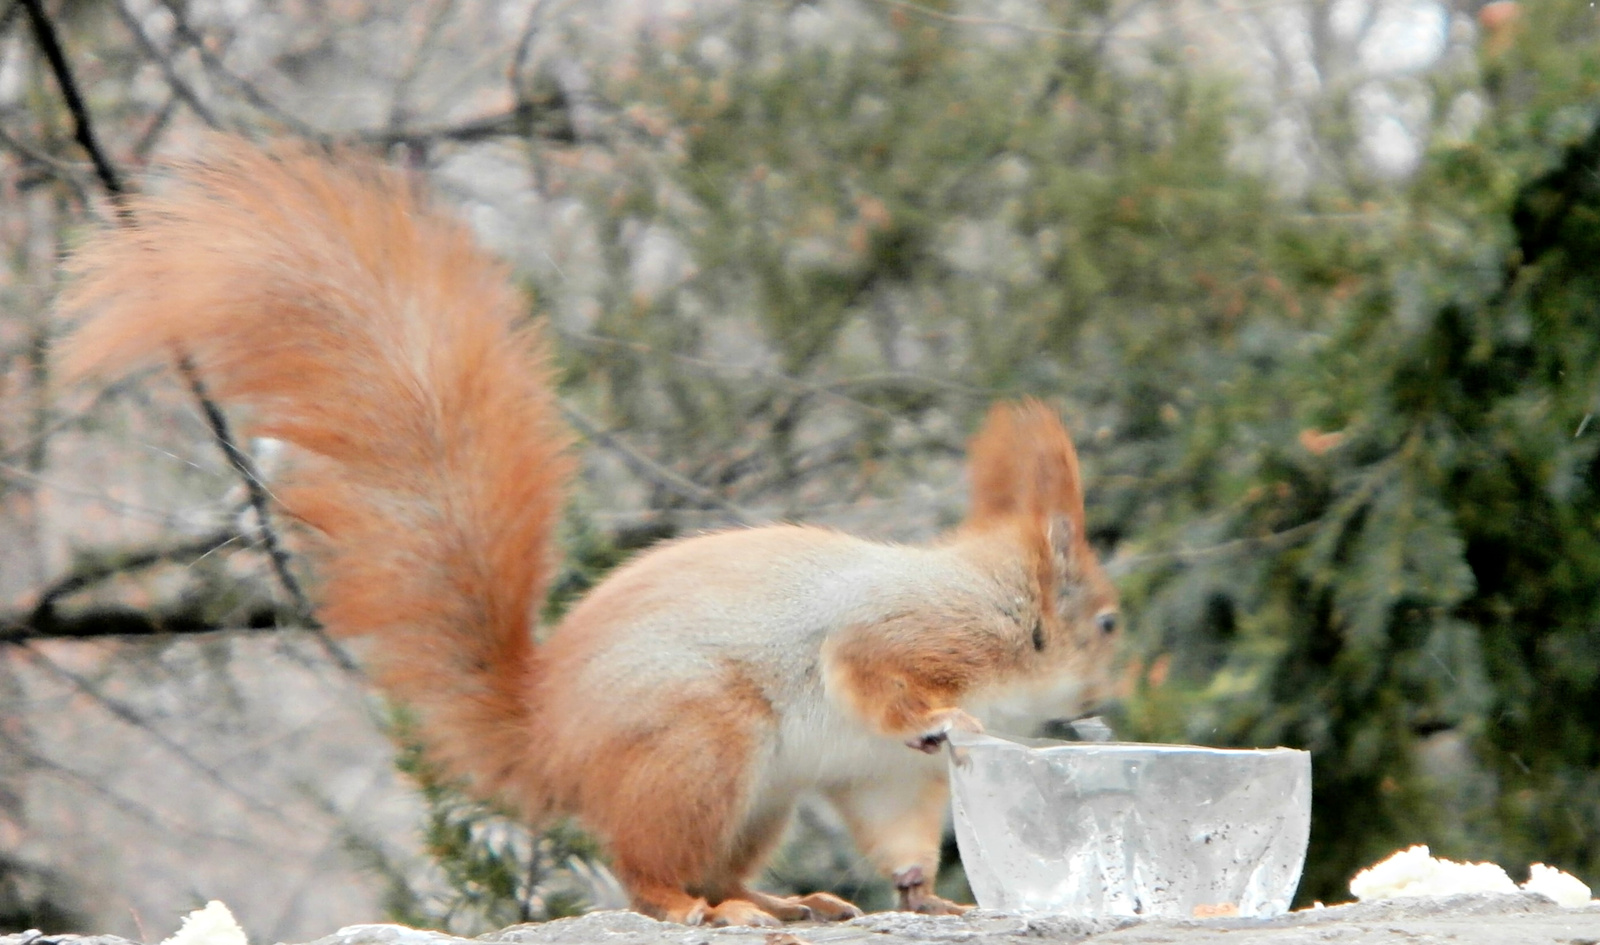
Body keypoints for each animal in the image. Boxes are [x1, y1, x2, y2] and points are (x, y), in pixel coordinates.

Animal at [59, 142, 1126, 933]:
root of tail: (551, 738)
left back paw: (778, 900)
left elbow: (898, 836)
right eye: (1111, 624)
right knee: (644, 871)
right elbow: (874, 673)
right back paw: (704, 910)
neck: (1003, 610)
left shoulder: (879, 780)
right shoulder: (907, 635)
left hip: (760, 798)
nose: (1109, 701)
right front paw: (947, 721)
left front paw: (925, 893)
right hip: (700, 747)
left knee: (712, 866)